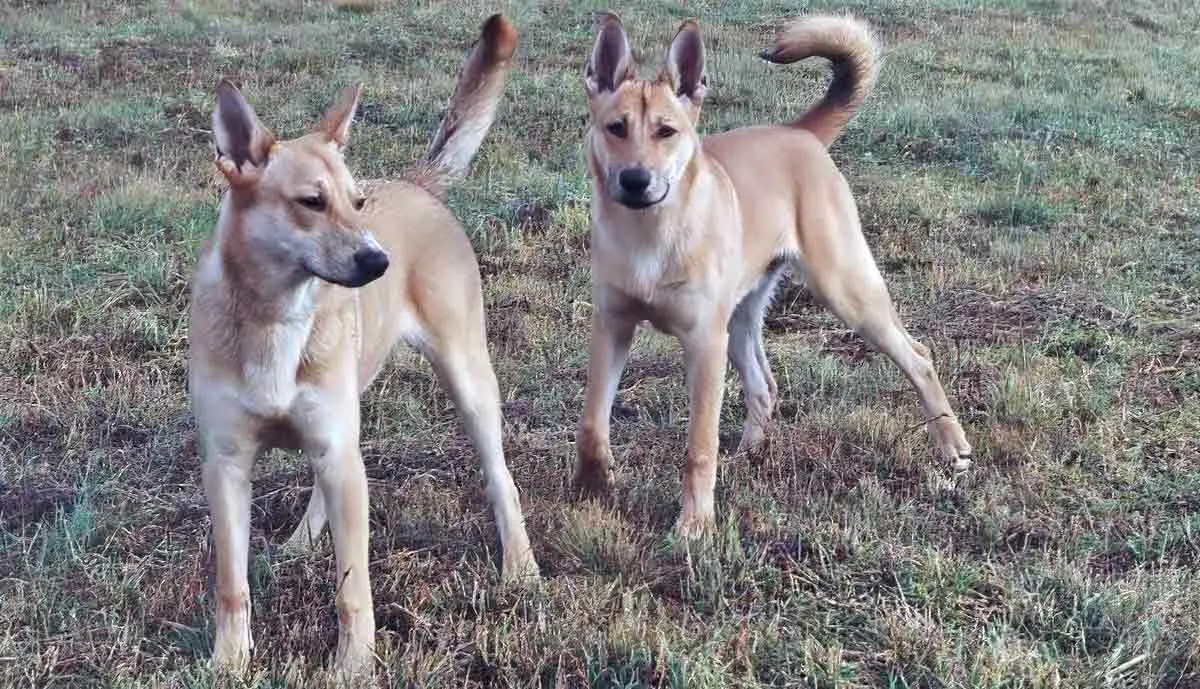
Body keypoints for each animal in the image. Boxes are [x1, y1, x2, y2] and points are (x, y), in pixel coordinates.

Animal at [188, 16, 540, 681]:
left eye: (356, 202)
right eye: (310, 201)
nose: (380, 261)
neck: (277, 317)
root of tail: (417, 184)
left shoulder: (335, 451)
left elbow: (353, 585)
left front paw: (353, 665)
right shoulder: (227, 466)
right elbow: (230, 583)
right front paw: (228, 661)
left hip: (468, 383)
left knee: (501, 479)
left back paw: (521, 567)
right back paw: (300, 543)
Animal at [573, 13, 974, 537]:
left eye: (666, 131)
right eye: (615, 127)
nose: (636, 180)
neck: (650, 233)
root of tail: (799, 133)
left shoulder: (704, 343)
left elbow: (699, 446)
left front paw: (694, 524)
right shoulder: (612, 326)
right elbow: (592, 421)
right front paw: (591, 485)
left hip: (846, 291)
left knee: (919, 357)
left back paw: (952, 443)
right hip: (741, 317)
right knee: (764, 386)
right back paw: (749, 456)